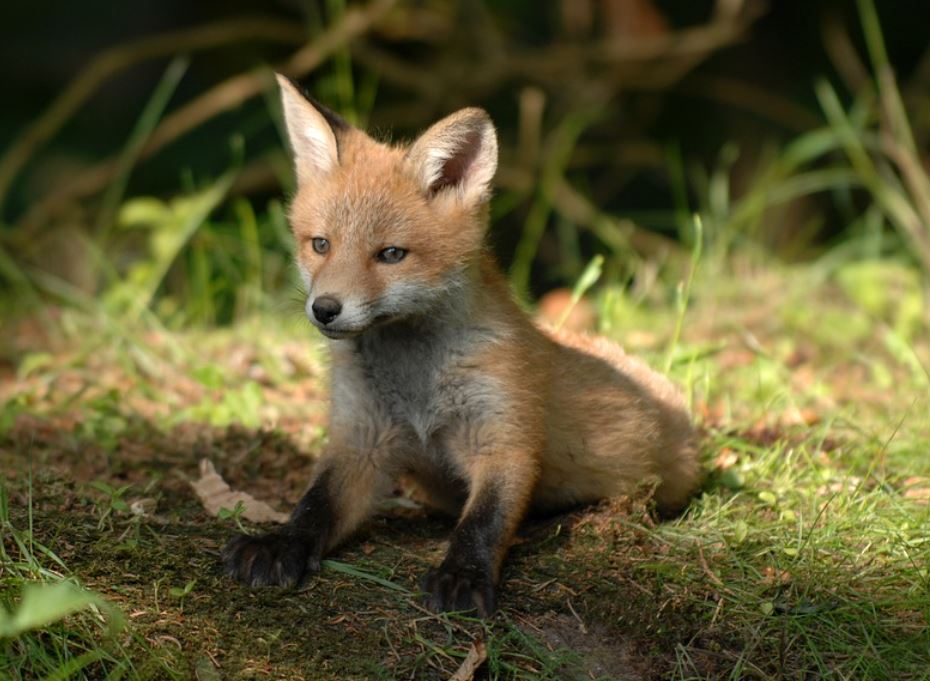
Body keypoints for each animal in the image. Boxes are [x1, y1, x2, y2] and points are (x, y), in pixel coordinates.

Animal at [222, 75, 700, 616]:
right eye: (320, 245)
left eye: (391, 254)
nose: (324, 309)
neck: (416, 379)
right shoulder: (361, 439)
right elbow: (314, 505)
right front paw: (279, 543)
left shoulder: (503, 436)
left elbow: (484, 521)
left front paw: (463, 575)